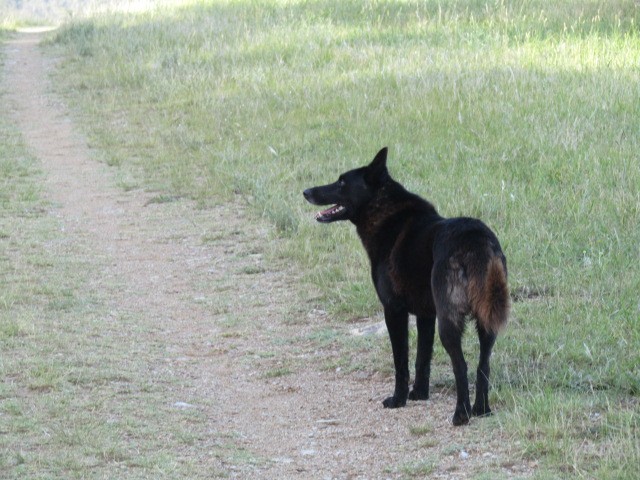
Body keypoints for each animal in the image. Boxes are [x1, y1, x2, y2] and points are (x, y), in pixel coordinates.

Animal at [304, 146, 510, 424]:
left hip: (449, 320)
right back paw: (482, 409)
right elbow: (423, 357)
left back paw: (461, 415)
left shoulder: (394, 311)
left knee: (462, 365)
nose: (306, 192)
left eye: (342, 182)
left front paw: (398, 400)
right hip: (486, 320)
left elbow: (400, 361)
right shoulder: (426, 315)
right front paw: (420, 394)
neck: (384, 210)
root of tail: (476, 240)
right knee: (482, 364)